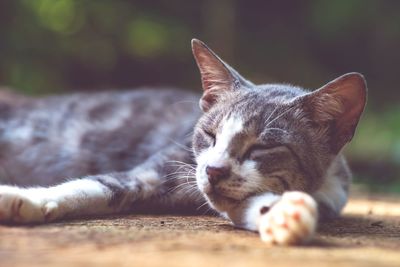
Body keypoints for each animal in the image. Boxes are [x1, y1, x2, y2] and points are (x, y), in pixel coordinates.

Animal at [0, 38, 366, 246]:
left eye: (262, 147)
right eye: (210, 135)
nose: (214, 170)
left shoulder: (330, 195)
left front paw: (284, 215)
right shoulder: (160, 168)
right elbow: (94, 184)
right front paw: (23, 198)